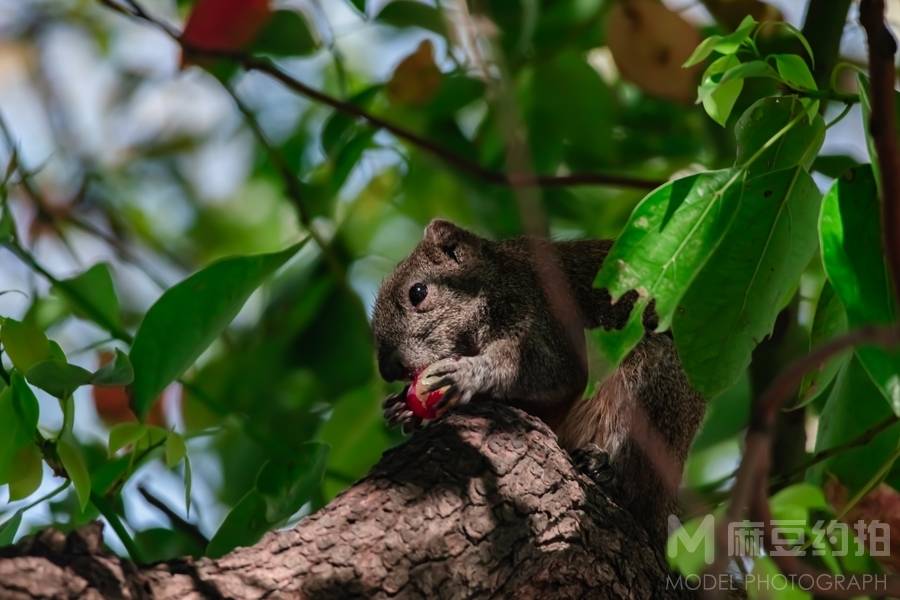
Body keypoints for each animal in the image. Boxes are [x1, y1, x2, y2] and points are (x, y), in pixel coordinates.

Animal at [370, 220, 708, 544]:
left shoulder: (542, 314)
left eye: (417, 292)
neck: (498, 279)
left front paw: (468, 373)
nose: (388, 370)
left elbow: (547, 370)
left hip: (655, 388)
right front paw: (402, 407)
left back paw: (605, 469)